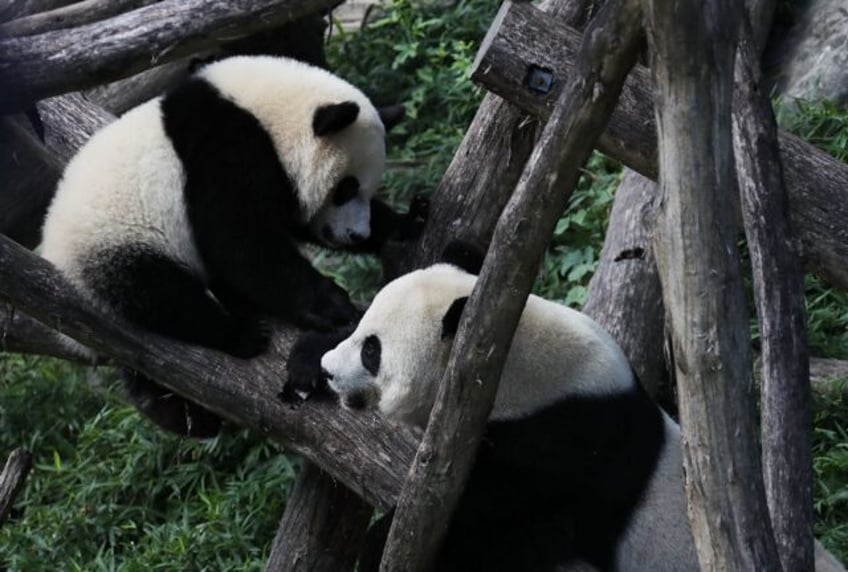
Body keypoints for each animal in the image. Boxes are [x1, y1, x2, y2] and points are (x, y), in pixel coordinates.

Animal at [39, 54, 424, 438]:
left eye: (367, 190)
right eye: (346, 188)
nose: (357, 234)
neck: (265, 114)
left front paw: (406, 222)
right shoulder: (223, 154)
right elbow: (240, 244)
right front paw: (334, 305)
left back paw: (182, 414)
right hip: (117, 246)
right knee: (162, 295)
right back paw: (239, 336)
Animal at [312, 262, 696, 572]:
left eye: (371, 351)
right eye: (360, 330)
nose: (328, 370)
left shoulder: (566, 443)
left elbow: (508, 525)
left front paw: (378, 544)